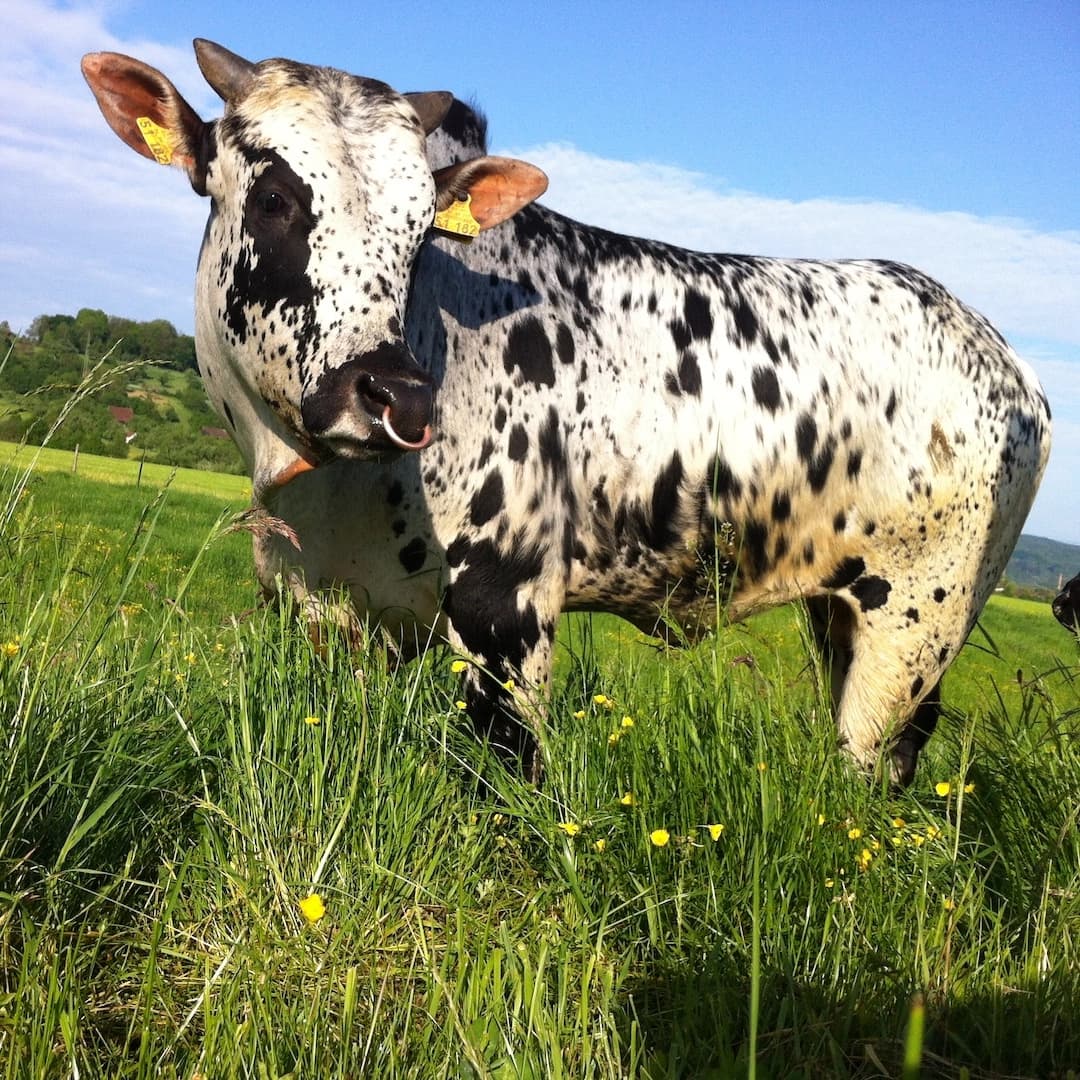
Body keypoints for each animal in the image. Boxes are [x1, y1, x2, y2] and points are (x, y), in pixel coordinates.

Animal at [86, 42, 1054, 786]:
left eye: (420, 229)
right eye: (275, 197)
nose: (395, 396)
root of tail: (1007, 365)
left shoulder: (506, 615)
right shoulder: (321, 613)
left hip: (915, 629)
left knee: (872, 764)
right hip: (841, 614)